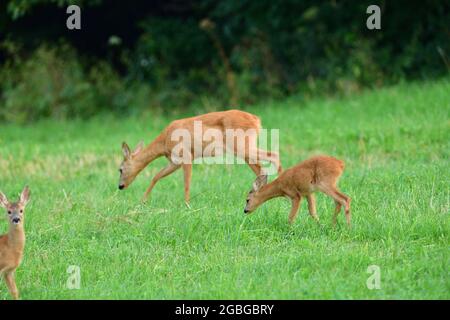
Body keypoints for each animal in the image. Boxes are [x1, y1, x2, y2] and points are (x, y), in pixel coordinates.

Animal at [118, 109, 282, 204]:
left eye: (120, 169)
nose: (120, 186)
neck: (164, 141)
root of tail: (256, 119)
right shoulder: (174, 162)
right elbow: (156, 176)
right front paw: (142, 201)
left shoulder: (186, 156)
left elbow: (186, 183)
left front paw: (187, 205)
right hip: (243, 150)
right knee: (261, 169)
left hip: (242, 146)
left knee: (273, 155)